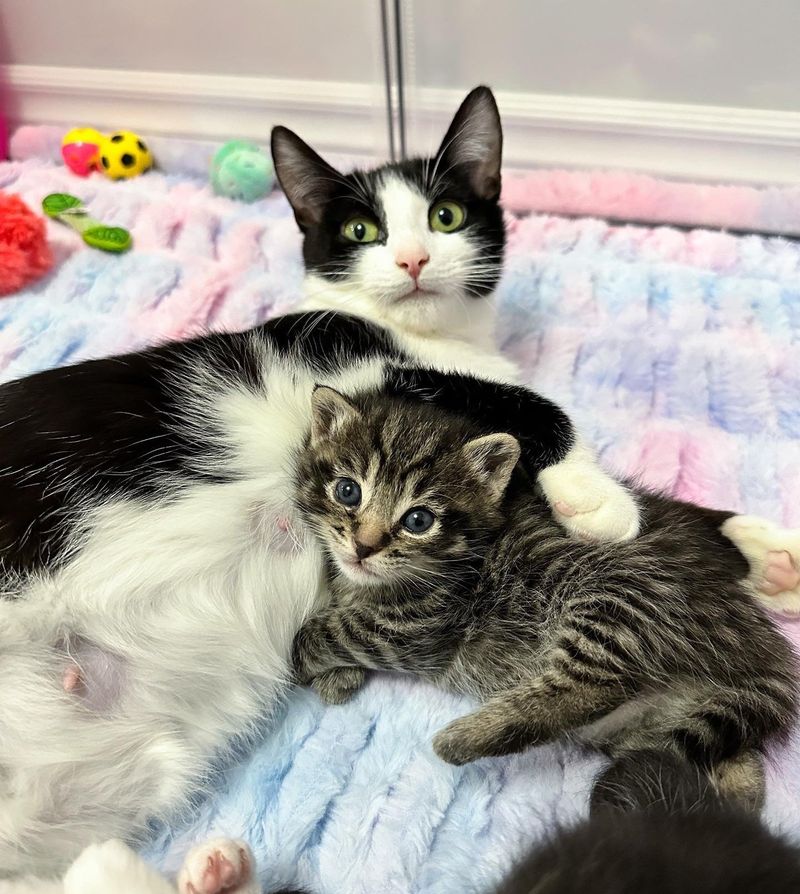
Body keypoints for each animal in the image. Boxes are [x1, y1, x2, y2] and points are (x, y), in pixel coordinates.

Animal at [290, 384, 796, 812]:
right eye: (348, 491)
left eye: (419, 520)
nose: (364, 546)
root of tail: (766, 651)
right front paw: (340, 675)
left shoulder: (420, 627)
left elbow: (340, 630)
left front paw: (300, 660)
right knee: (723, 755)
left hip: (621, 595)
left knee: (594, 685)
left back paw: (460, 738)